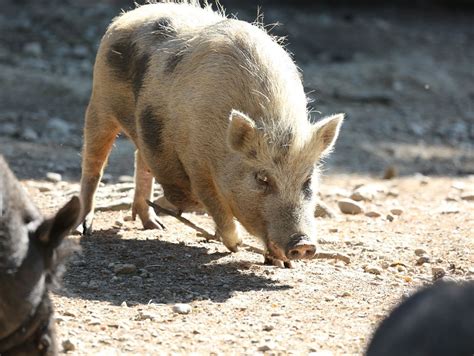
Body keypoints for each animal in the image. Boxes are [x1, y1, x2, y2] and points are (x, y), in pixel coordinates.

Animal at [78, 0, 344, 268]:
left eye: (308, 179)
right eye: (262, 178)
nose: (304, 244)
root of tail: (129, 15)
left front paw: (279, 263)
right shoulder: (196, 162)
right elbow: (216, 206)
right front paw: (235, 245)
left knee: (141, 159)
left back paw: (155, 225)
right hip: (99, 101)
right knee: (93, 165)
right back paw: (85, 228)